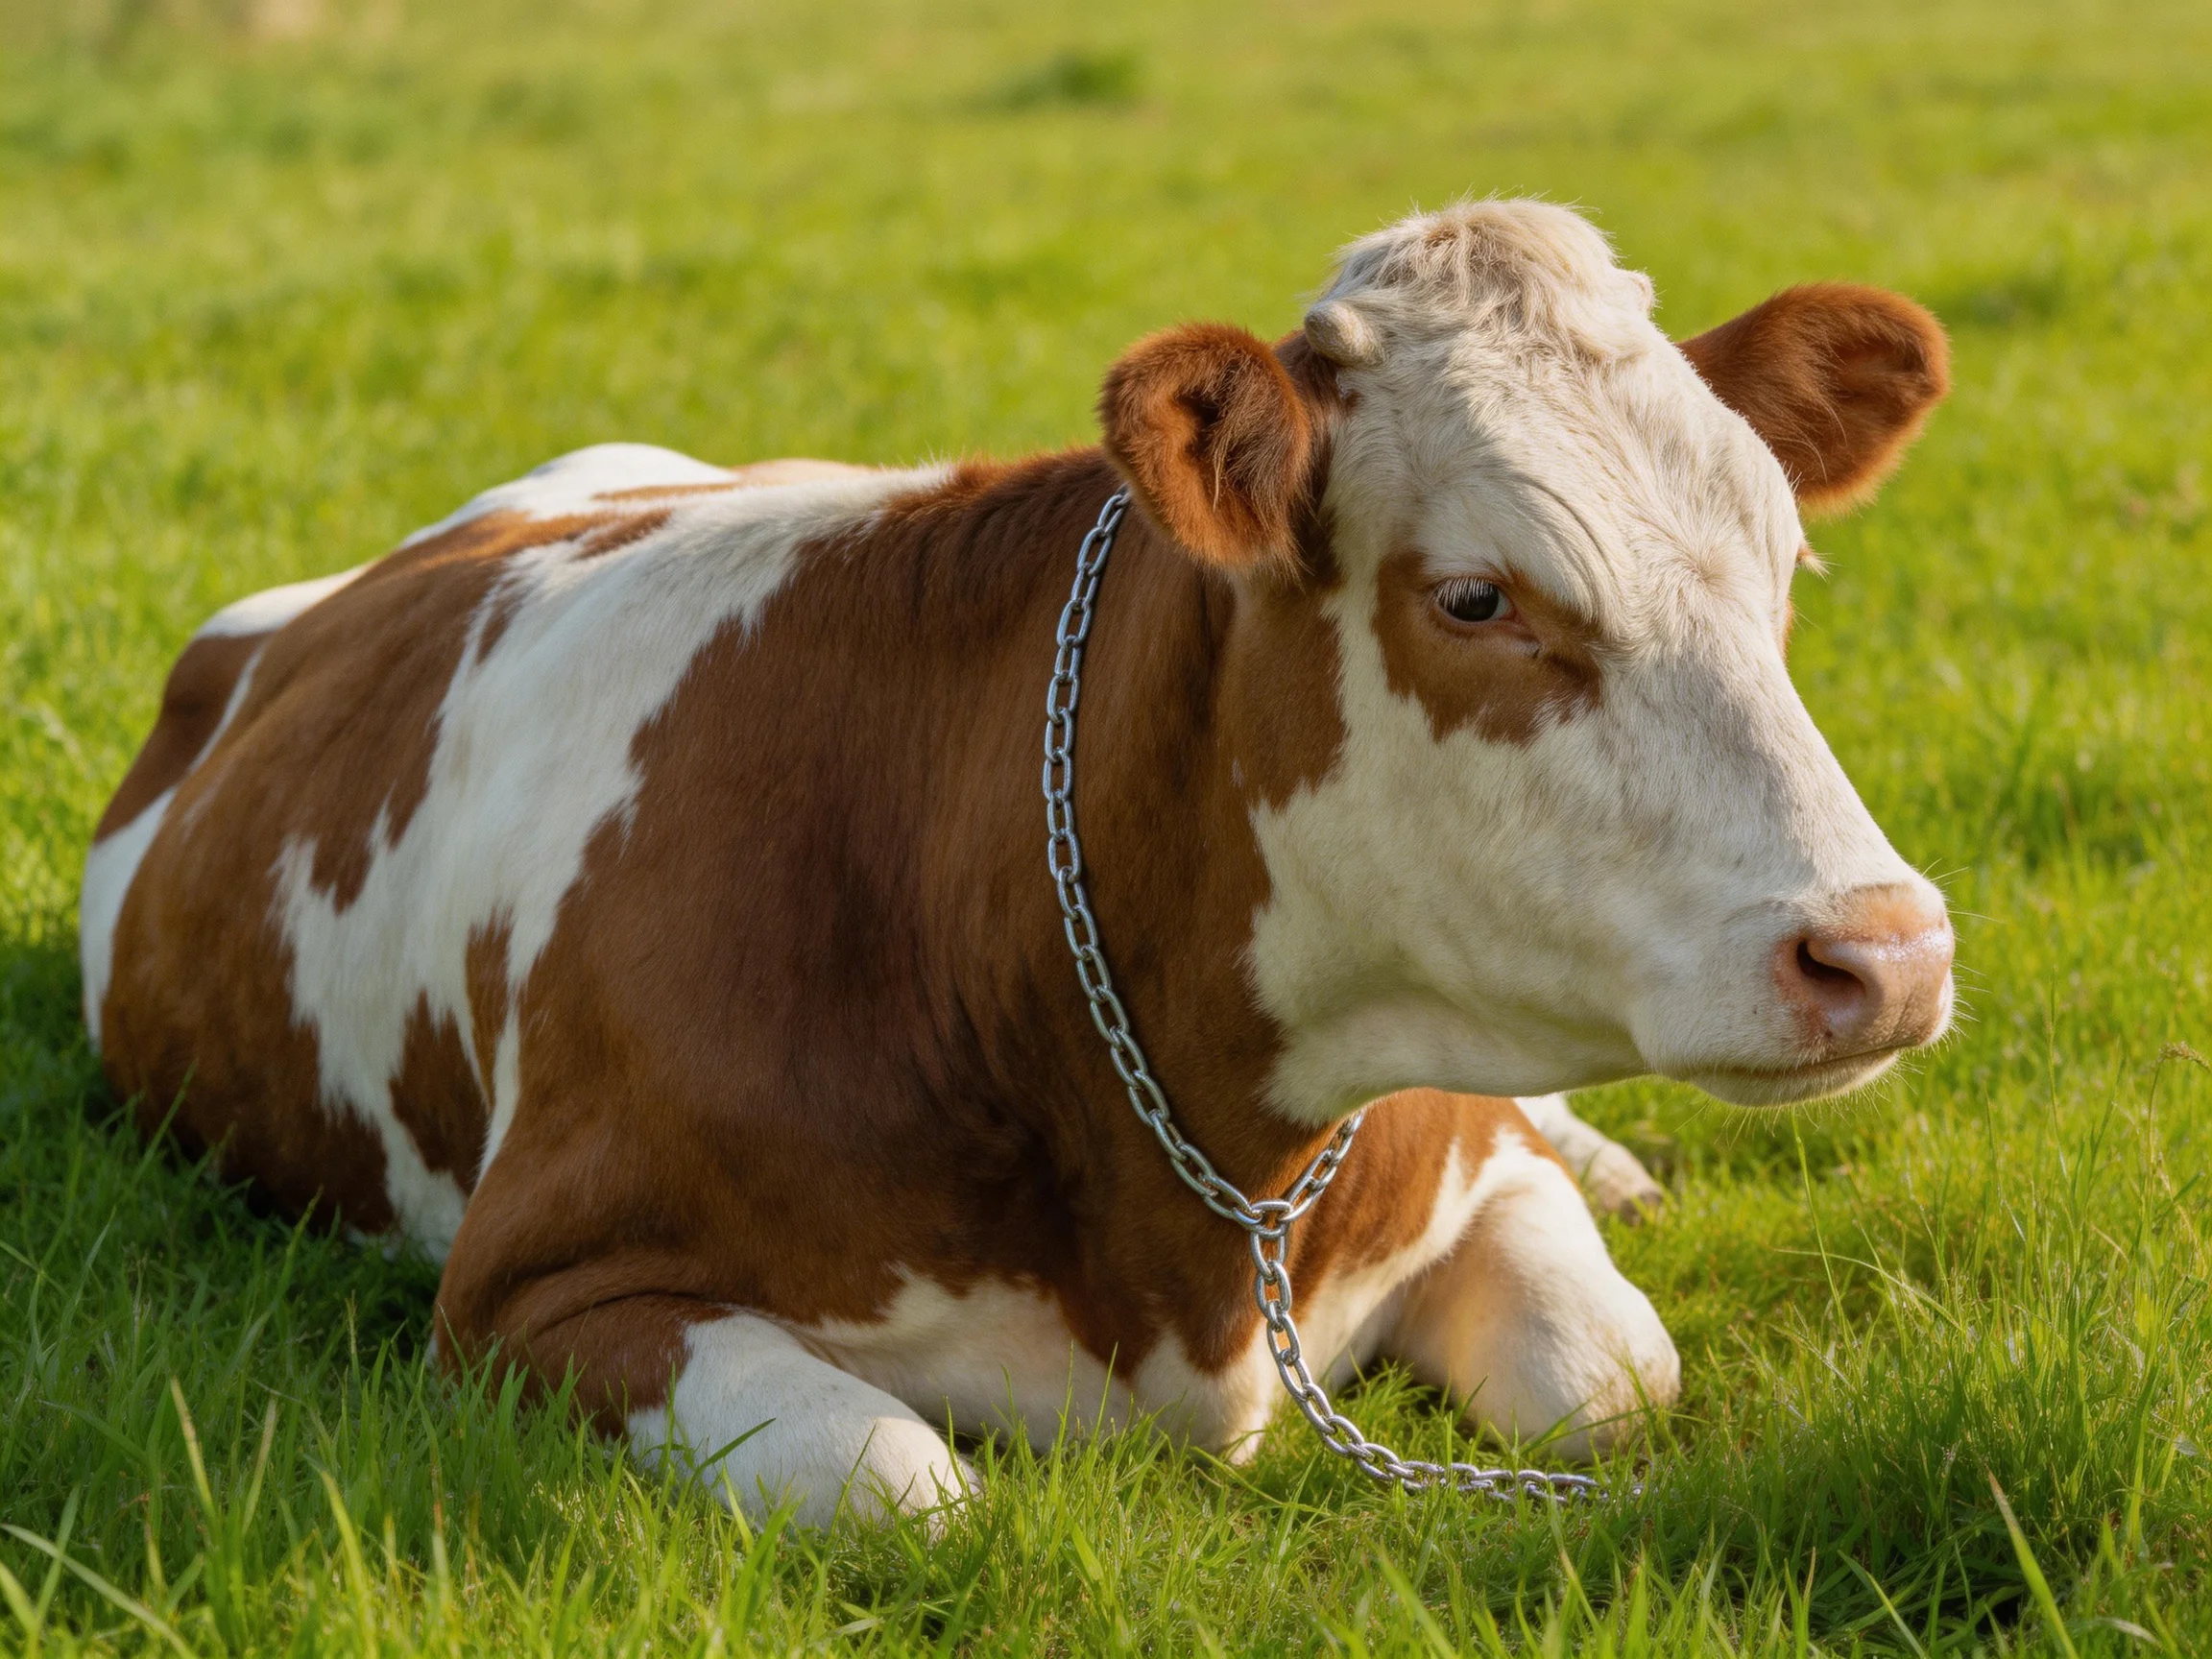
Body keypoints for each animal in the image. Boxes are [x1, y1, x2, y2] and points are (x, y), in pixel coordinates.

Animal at [80, 201, 1955, 1526]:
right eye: (1476, 596)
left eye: (1785, 565)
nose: (1882, 950)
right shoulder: (533, 1292)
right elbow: (908, 1490)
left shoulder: (1464, 1156)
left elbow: (1610, 1380)